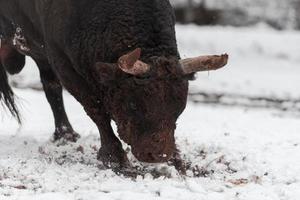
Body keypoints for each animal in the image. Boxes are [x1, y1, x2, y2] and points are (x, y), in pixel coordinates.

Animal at [0, 0, 227, 170]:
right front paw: (114, 157)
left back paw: (65, 134)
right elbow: (96, 109)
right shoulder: (61, 61)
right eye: (133, 104)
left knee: (50, 88)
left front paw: (178, 158)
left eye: (180, 106)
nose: (158, 154)